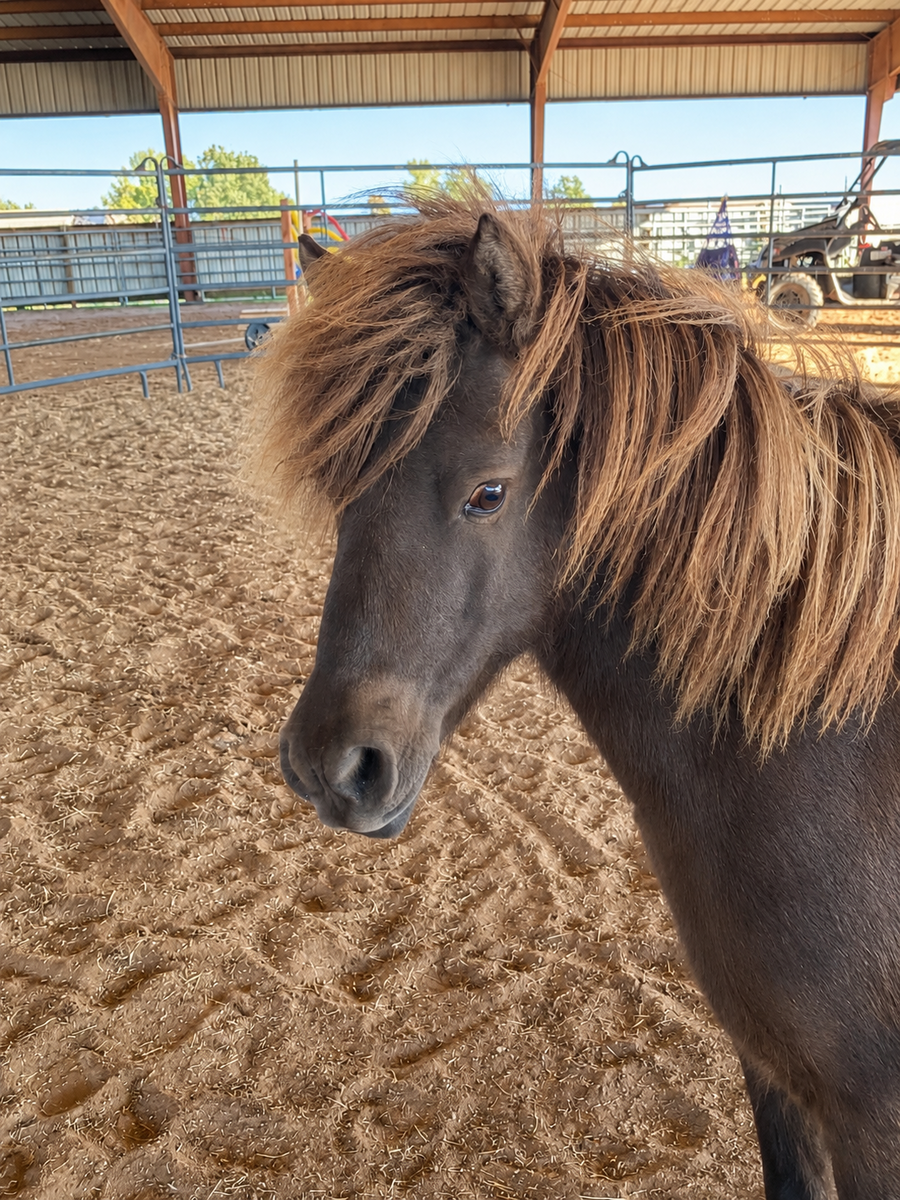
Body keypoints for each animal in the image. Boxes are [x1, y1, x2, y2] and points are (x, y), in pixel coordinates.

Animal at [252, 198, 900, 1198]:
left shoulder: (872, 1118)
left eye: (489, 493)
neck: (824, 732)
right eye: (339, 487)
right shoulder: (775, 1072)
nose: (331, 765)